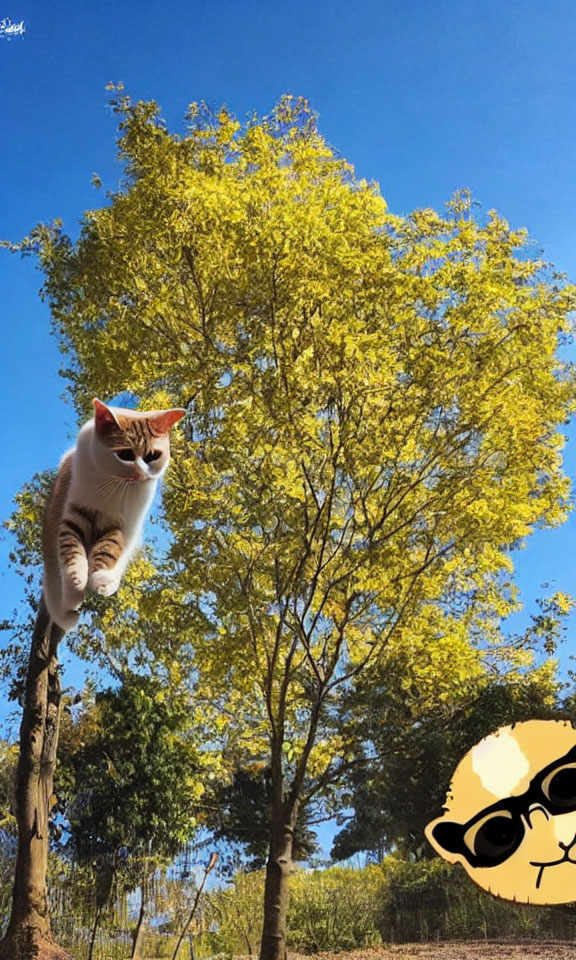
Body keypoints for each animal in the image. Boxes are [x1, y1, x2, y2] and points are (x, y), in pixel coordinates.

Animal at [43, 398, 187, 632]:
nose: (141, 474)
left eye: (152, 456)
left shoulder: (119, 524)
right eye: (125, 455)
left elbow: (109, 549)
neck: (113, 485)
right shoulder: (75, 513)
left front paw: (100, 579)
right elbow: (71, 549)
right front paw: (76, 582)